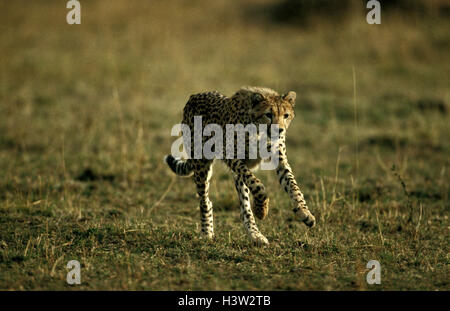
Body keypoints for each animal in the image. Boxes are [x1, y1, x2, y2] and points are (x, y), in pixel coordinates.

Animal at [165, 86, 316, 245]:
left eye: (286, 115)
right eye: (268, 114)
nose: (279, 130)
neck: (259, 131)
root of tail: (194, 96)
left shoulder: (280, 160)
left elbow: (293, 185)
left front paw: (305, 213)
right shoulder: (231, 155)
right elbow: (258, 185)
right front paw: (261, 209)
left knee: (244, 206)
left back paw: (255, 234)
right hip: (201, 164)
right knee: (205, 201)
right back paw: (207, 233)